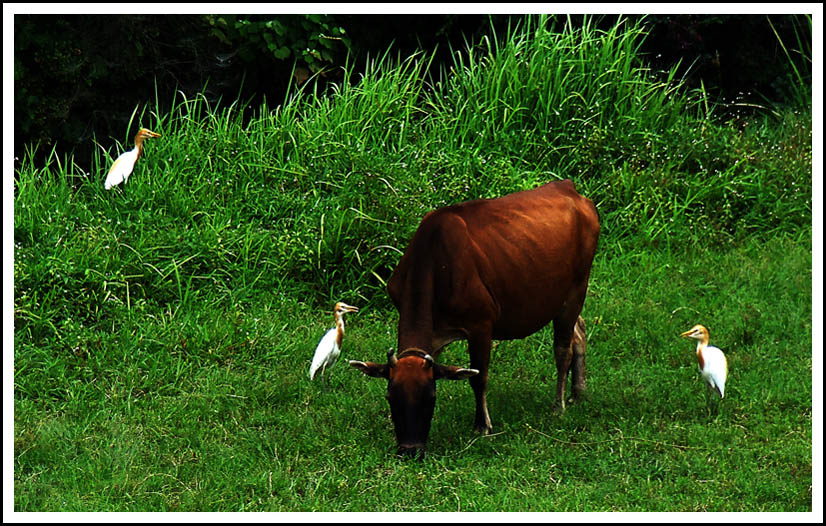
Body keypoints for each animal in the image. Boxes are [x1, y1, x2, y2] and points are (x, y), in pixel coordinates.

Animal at [350, 179, 600, 456]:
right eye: (390, 396)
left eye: (430, 397)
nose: (410, 449)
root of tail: (568, 187)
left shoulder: (480, 325)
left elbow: (479, 378)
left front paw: (482, 426)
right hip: (563, 297)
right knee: (580, 330)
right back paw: (579, 392)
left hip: (578, 286)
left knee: (563, 348)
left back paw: (559, 405)